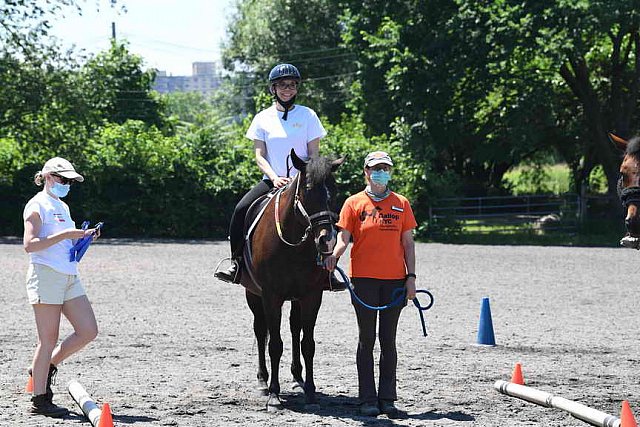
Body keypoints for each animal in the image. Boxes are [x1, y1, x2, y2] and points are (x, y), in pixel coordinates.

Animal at [239, 150, 342, 412]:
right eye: (307, 190)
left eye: (334, 190)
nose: (327, 240)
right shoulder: (270, 295)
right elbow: (274, 344)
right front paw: (274, 395)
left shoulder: (312, 296)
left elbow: (308, 344)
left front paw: (311, 392)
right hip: (253, 295)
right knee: (260, 330)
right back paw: (263, 381)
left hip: (296, 298)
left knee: (295, 328)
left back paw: (298, 378)